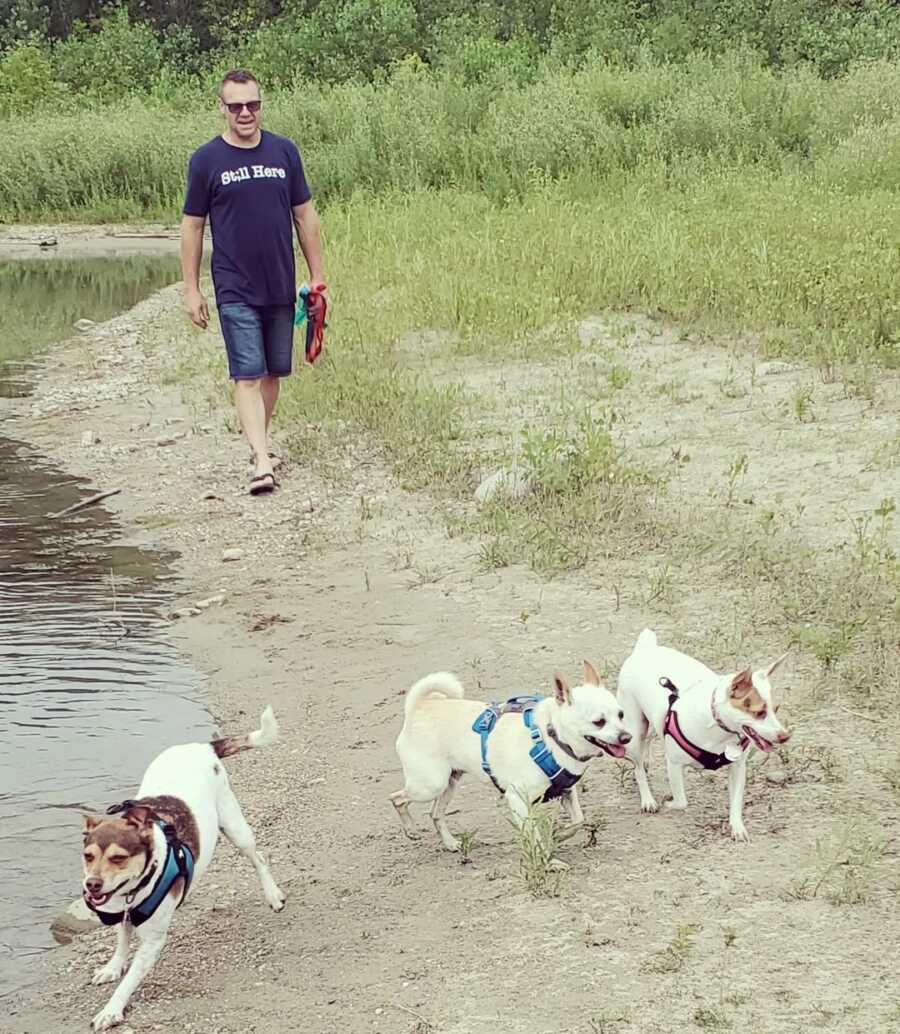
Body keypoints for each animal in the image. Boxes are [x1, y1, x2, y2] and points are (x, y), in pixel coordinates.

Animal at [81, 707, 285, 1029]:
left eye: (118, 858)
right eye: (87, 856)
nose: (92, 885)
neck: (133, 891)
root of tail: (201, 747)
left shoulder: (152, 942)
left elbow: (128, 982)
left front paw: (111, 1010)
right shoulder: (122, 914)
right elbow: (122, 943)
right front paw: (113, 967)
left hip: (235, 827)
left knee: (259, 858)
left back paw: (273, 895)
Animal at [388, 661, 633, 847]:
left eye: (621, 714)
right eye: (599, 722)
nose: (627, 737)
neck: (552, 737)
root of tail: (420, 706)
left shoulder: (567, 792)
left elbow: (578, 821)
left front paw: (560, 835)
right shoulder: (517, 799)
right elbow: (534, 837)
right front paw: (549, 861)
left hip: (449, 782)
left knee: (435, 814)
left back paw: (449, 843)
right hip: (430, 785)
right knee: (397, 799)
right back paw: (410, 830)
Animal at [616, 628, 794, 839]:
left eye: (776, 709)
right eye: (759, 713)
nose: (785, 736)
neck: (719, 729)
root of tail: (645, 650)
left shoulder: (738, 768)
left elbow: (736, 802)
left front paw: (737, 827)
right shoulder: (674, 765)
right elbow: (681, 801)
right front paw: (669, 803)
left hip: (650, 720)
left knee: (650, 738)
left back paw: (648, 762)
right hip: (635, 730)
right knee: (637, 767)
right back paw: (647, 799)